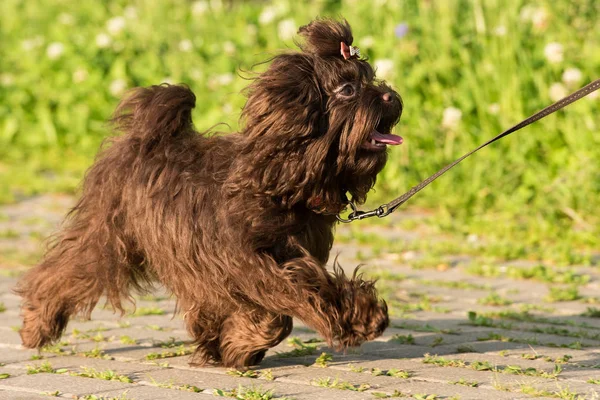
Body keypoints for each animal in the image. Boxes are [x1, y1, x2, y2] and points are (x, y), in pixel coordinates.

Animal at [16, 20, 404, 368]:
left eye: (370, 77)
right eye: (347, 89)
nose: (390, 95)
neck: (280, 179)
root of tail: (145, 135)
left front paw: (230, 345)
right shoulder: (251, 264)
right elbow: (289, 304)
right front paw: (358, 318)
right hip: (110, 236)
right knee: (66, 271)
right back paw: (36, 323)